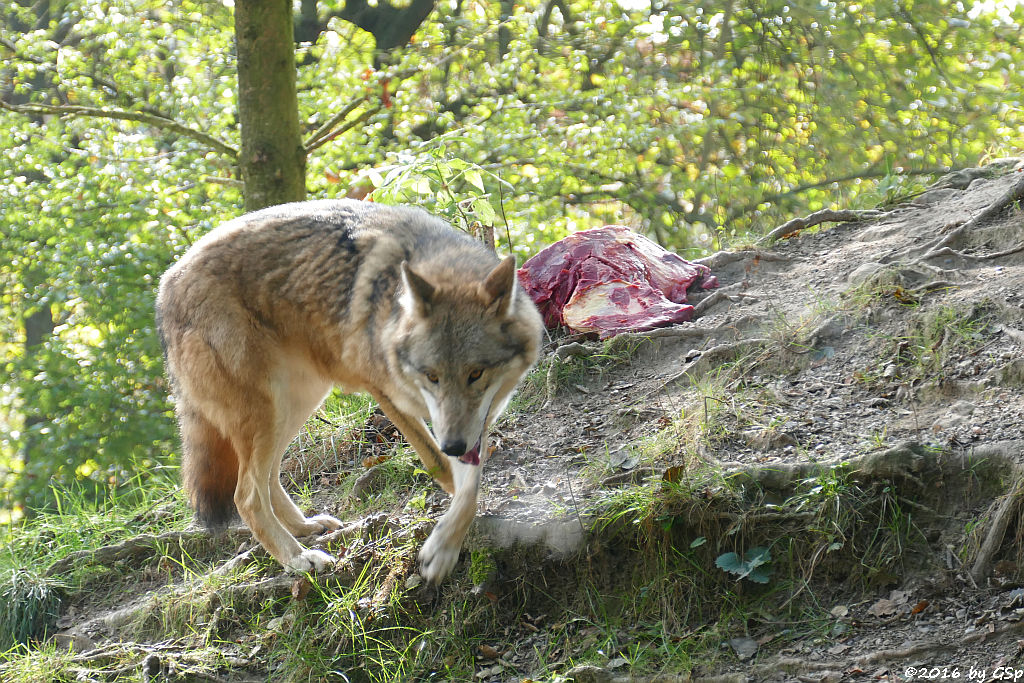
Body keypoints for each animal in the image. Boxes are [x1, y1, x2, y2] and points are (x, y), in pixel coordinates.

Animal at [154, 197, 544, 581]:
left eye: (476, 373)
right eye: (431, 376)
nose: (454, 445)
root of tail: (166, 284)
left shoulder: (474, 423)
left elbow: (470, 484)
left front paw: (447, 542)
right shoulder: (387, 394)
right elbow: (443, 469)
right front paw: (443, 542)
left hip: (298, 401)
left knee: (268, 479)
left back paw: (305, 527)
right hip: (268, 411)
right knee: (246, 495)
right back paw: (298, 559)